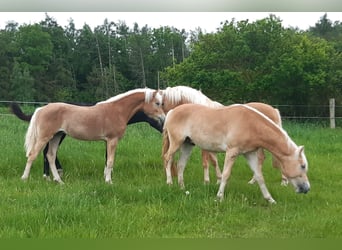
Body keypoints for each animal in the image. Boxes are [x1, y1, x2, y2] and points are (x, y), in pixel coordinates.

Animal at [20, 88, 165, 184]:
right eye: (157, 103)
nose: (164, 118)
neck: (117, 110)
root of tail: (41, 109)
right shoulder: (112, 140)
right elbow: (110, 161)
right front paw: (109, 182)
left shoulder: (108, 141)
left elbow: (107, 161)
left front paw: (106, 179)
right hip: (45, 137)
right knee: (32, 155)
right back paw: (24, 178)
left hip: (56, 136)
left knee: (50, 156)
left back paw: (59, 181)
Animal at [163, 103, 310, 203]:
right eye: (302, 166)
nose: (307, 188)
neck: (251, 124)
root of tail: (171, 111)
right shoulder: (232, 152)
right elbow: (225, 175)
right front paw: (219, 197)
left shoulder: (249, 154)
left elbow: (259, 176)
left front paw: (270, 199)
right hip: (176, 143)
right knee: (168, 159)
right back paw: (169, 183)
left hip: (187, 145)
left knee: (181, 165)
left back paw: (182, 187)